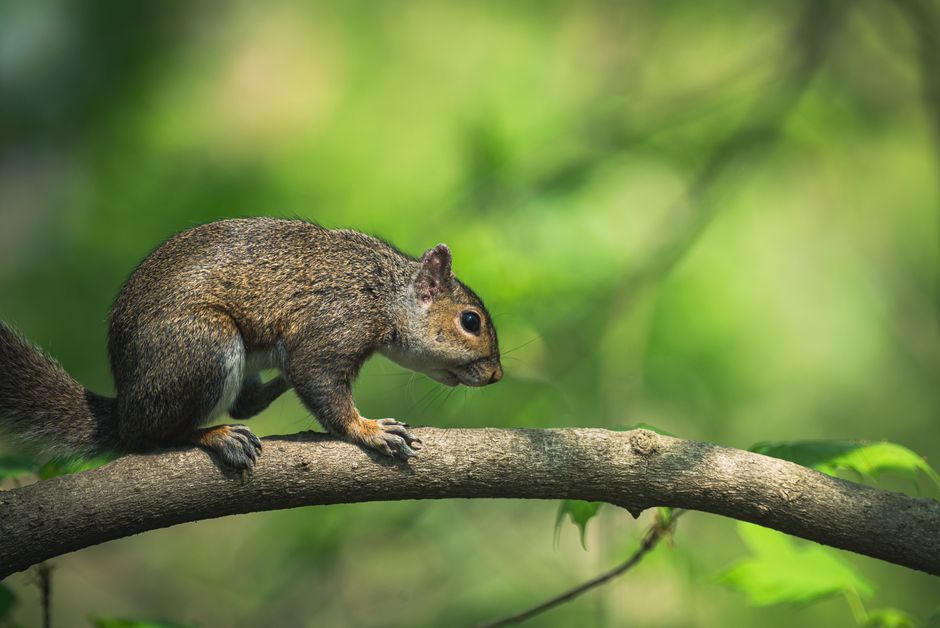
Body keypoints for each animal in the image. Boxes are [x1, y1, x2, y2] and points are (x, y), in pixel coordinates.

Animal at [0, 217, 502, 470]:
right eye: (470, 321)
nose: (497, 375)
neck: (383, 294)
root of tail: (125, 407)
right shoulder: (334, 325)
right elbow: (319, 381)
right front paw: (369, 429)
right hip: (203, 346)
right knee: (151, 437)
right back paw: (213, 435)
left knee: (242, 403)